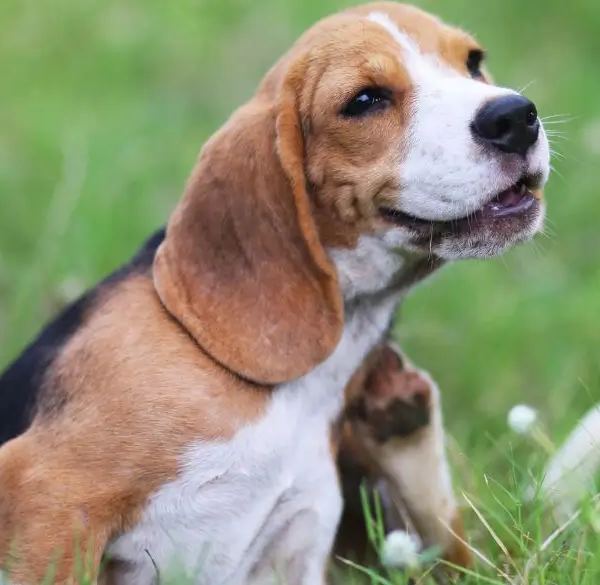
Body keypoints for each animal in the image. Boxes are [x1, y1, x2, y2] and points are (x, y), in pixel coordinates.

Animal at [0, 3, 548, 584]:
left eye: (473, 62)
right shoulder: (48, 494)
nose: (515, 117)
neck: (305, 389)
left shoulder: (297, 545)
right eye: (365, 100)